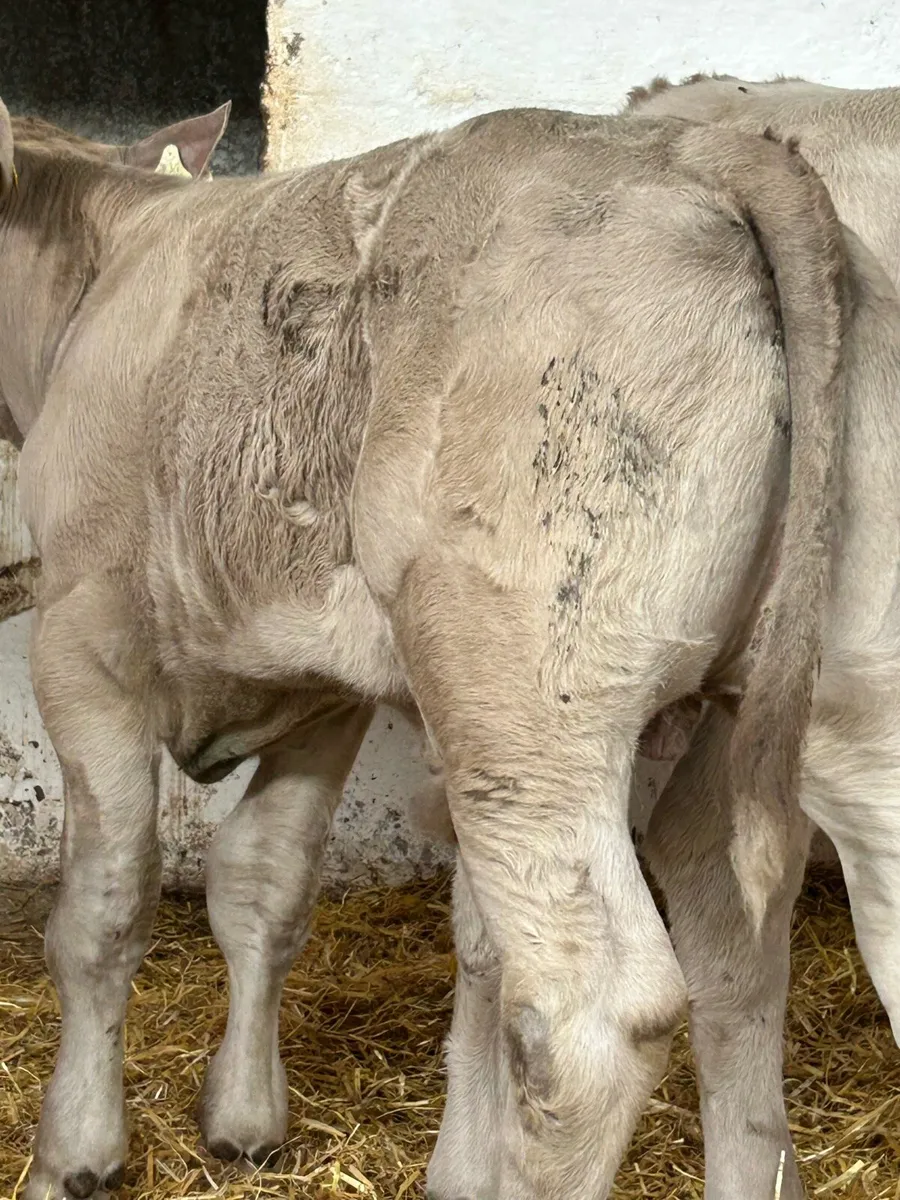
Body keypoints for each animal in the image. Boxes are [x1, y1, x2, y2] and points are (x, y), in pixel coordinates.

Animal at [0, 97, 850, 1200]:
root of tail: (692, 148)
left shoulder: (82, 642)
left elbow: (101, 912)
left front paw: (75, 1152)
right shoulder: (319, 688)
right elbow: (262, 883)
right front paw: (244, 1119)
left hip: (525, 696)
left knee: (590, 1014)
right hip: (741, 701)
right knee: (730, 925)